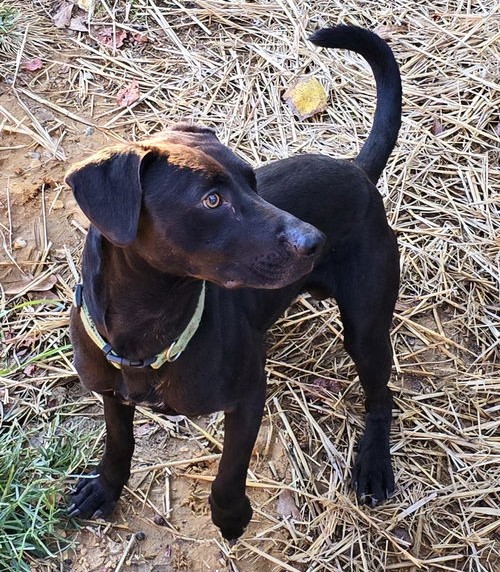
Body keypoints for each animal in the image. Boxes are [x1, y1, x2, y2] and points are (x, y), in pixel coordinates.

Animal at [65, 25, 401, 540]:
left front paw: (230, 514)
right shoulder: (109, 395)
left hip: (366, 325)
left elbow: (229, 468)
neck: (148, 329)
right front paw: (105, 488)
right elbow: (118, 443)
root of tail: (356, 170)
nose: (315, 241)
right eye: (212, 200)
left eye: (252, 181)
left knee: (380, 395)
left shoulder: (246, 399)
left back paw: (375, 466)